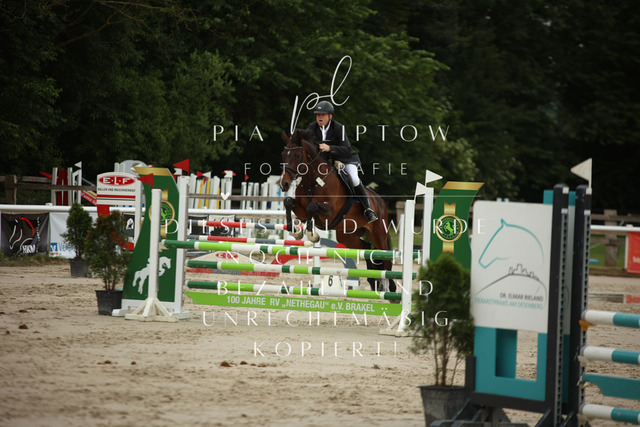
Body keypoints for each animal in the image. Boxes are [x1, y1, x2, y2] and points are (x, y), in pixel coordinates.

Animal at [278, 129, 396, 292]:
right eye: (283, 155)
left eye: (297, 155)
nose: (284, 184)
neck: (313, 180)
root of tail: (379, 200)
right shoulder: (300, 210)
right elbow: (289, 202)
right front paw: (295, 230)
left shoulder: (329, 212)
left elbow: (312, 207)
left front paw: (311, 234)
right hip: (347, 235)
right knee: (367, 249)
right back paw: (373, 281)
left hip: (378, 233)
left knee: (386, 257)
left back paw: (391, 287)